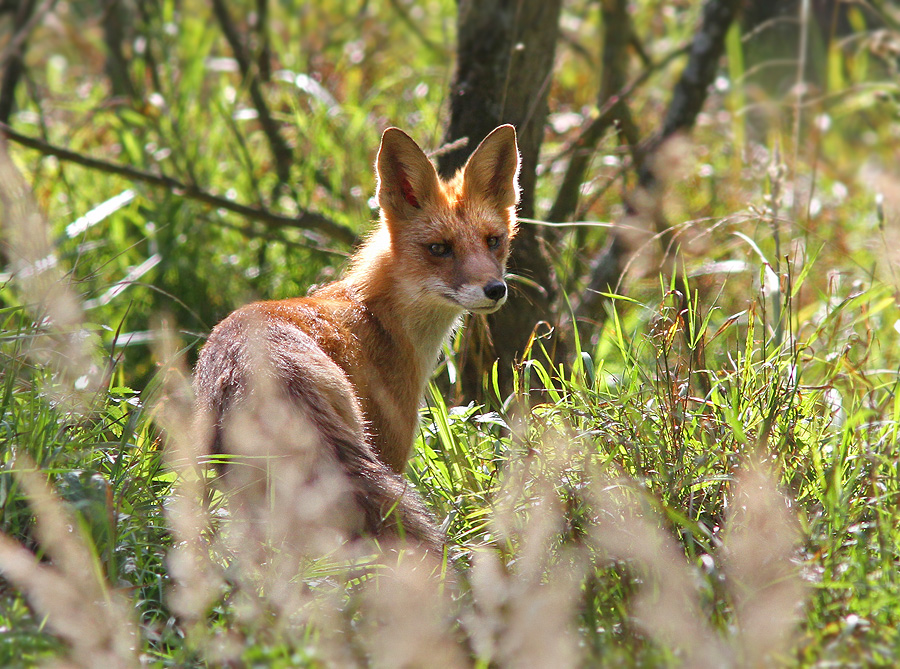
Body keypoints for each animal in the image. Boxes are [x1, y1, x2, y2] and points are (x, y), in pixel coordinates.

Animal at [193, 124, 524, 548]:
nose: (495, 289)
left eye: (493, 240)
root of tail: (246, 359)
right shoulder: (391, 444)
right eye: (439, 248)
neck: (378, 316)